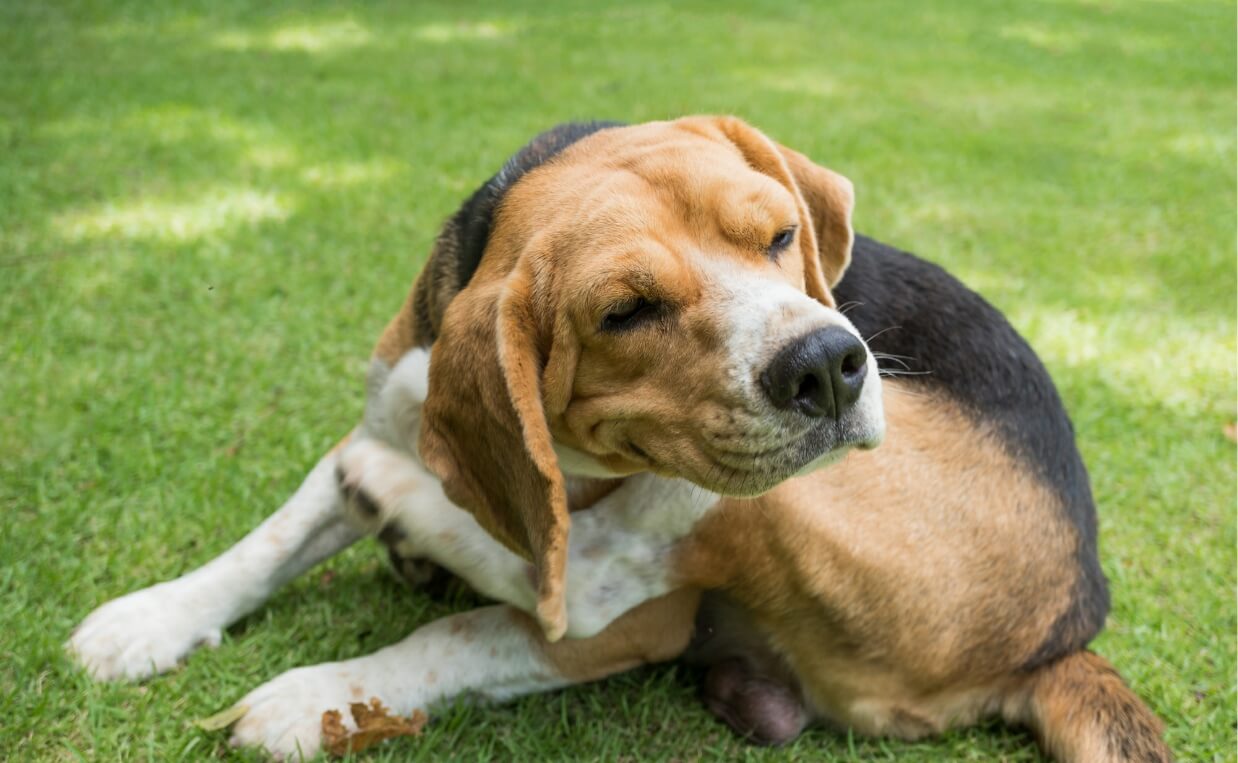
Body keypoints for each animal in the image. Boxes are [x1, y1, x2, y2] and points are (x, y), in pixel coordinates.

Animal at [67, 116, 1168, 758]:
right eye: (625, 311)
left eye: (779, 235)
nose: (828, 362)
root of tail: (1067, 632)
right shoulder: (387, 397)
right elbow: (270, 539)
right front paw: (150, 619)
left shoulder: (641, 618)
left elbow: (466, 632)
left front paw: (315, 700)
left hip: (781, 498)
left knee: (571, 581)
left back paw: (405, 507)